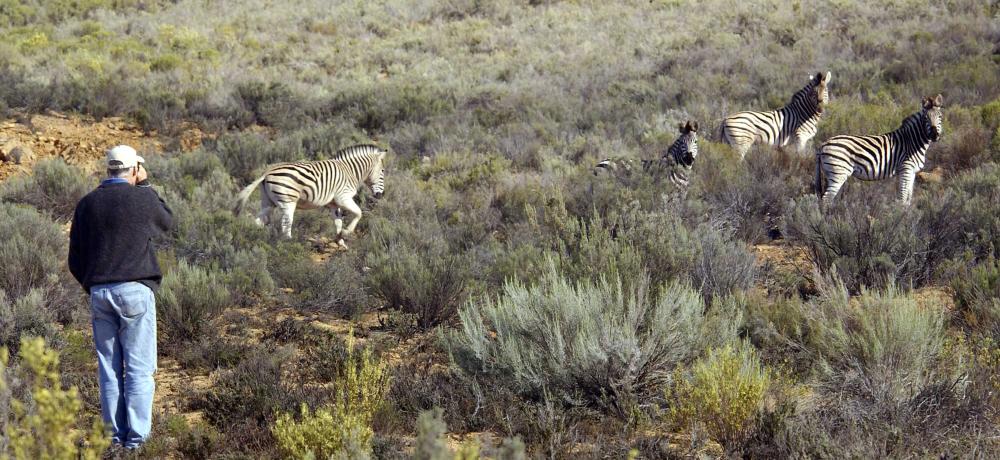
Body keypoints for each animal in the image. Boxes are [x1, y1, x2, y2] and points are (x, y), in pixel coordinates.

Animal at [233, 144, 386, 244]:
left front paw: (340, 241)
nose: (380, 196)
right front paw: (346, 232)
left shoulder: (334, 204)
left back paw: (255, 239)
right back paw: (290, 244)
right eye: (383, 171)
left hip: (268, 202)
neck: (350, 171)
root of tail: (266, 173)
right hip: (287, 201)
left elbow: (338, 222)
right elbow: (358, 213)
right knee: (286, 224)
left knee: (258, 221)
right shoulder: (343, 198)